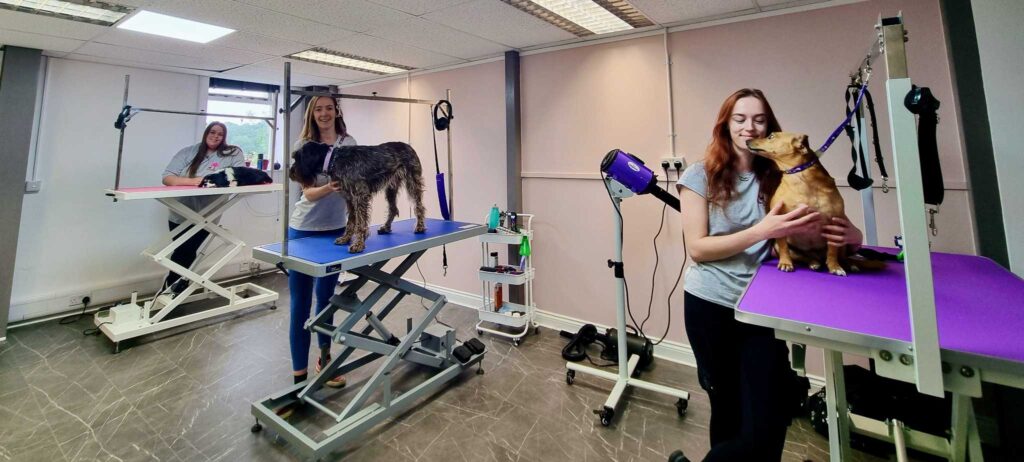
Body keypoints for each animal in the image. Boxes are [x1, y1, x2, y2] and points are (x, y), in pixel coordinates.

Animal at [290, 141, 425, 253]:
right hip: (391, 188)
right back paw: (386, 227)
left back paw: (420, 226)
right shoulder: (350, 198)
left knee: (419, 206)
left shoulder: (360, 197)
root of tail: (408, 146)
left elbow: (360, 223)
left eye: (297, 158)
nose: (290, 173)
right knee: (393, 209)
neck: (334, 160)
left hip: (413, 183)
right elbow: (351, 222)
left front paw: (359, 244)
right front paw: (346, 238)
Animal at [749, 132, 860, 276]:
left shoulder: (834, 224)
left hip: (842, 241)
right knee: (804, 257)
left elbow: (832, 251)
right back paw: (813, 263)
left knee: (840, 255)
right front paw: (785, 263)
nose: (747, 140)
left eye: (771, 136)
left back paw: (849, 264)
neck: (799, 177)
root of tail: (818, 256)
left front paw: (835, 267)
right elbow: (784, 247)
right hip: (785, 248)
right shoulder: (780, 220)